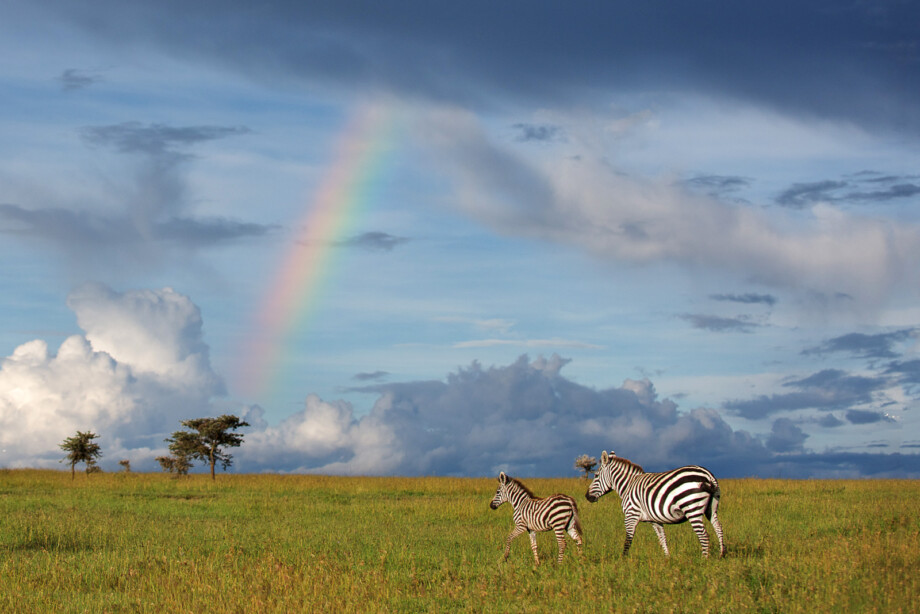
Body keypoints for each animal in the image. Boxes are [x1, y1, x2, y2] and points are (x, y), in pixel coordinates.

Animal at [585, 450, 726, 558]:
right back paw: (721, 555)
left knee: (704, 535)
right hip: (711, 508)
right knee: (718, 527)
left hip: (692, 509)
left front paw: (623, 559)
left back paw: (704, 559)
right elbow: (662, 538)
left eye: (596, 475)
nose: (587, 496)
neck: (628, 486)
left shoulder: (631, 515)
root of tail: (708, 475)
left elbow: (628, 539)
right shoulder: (655, 520)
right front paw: (667, 558)